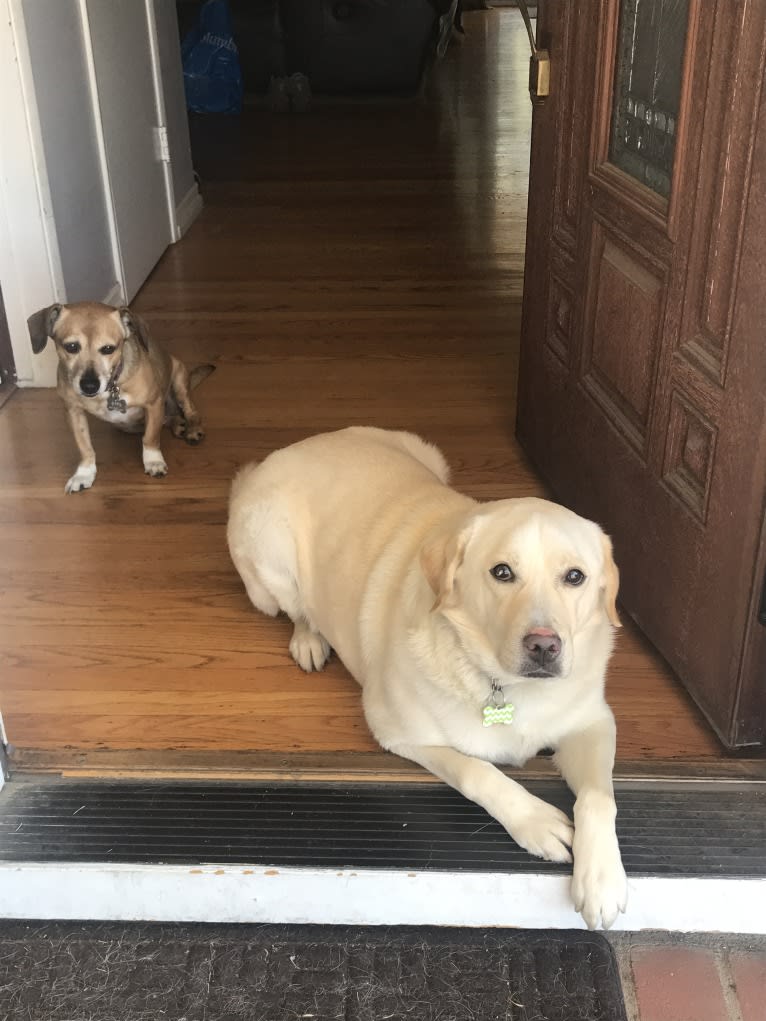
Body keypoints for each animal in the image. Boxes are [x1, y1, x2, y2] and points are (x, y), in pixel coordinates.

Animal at [28, 300, 214, 492]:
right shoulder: (73, 411)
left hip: (179, 381)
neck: (110, 388)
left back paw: (192, 430)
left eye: (108, 349)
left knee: (190, 412)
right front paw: (84, 474)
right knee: (170, 418)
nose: (89, 386)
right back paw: (178, 424)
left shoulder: (153, 404)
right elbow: (84, 446)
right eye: (71, 347)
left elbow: (150, 438)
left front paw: (153, 462)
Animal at [227, 422, 629, 927]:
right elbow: (478, 771)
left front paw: (602, 879)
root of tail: (283, 453)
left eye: (575, 577)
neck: (507, 687)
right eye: (502, 572)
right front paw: (536, 821)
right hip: (270, 566)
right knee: (297, 610)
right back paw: (309, 639)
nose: (544, 646)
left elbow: (599, 795)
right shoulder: (396, 731)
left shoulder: (593, 721)